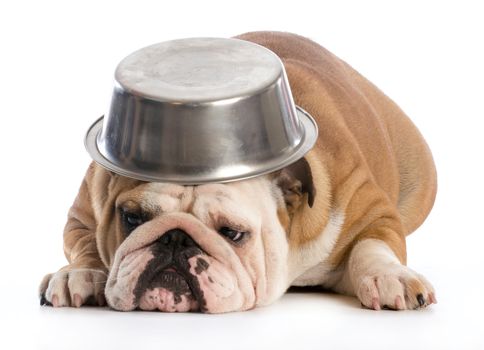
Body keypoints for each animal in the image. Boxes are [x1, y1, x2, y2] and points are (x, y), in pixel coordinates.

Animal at [39, 32, 436, 312]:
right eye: (131, 218)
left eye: (232, 233)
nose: (175, 240)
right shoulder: (84, 212)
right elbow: (87, 242)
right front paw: (81, 274)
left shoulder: (369, 209)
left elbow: (373, 245)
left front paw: (390, 277)